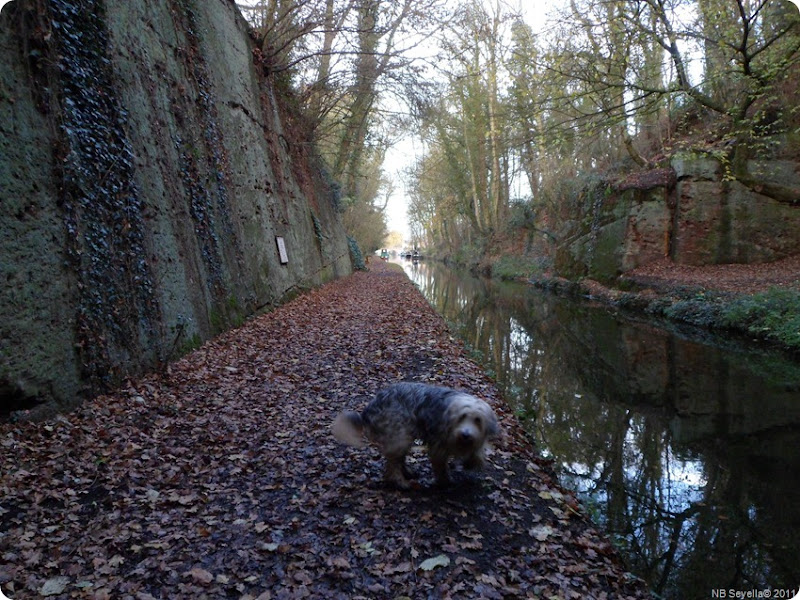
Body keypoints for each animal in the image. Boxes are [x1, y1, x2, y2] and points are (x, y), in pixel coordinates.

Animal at [330, 384, 494, 488]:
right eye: (462, 417)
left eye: (478, 420)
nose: (466, 434)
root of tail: (369, 408)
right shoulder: (440, 443)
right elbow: (440, 464)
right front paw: (446, 480)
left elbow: (476, 452)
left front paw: (472, 461)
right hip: (399, 433)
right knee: (393, 464)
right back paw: (400, 482)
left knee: (397, 459)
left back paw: (407, 473)